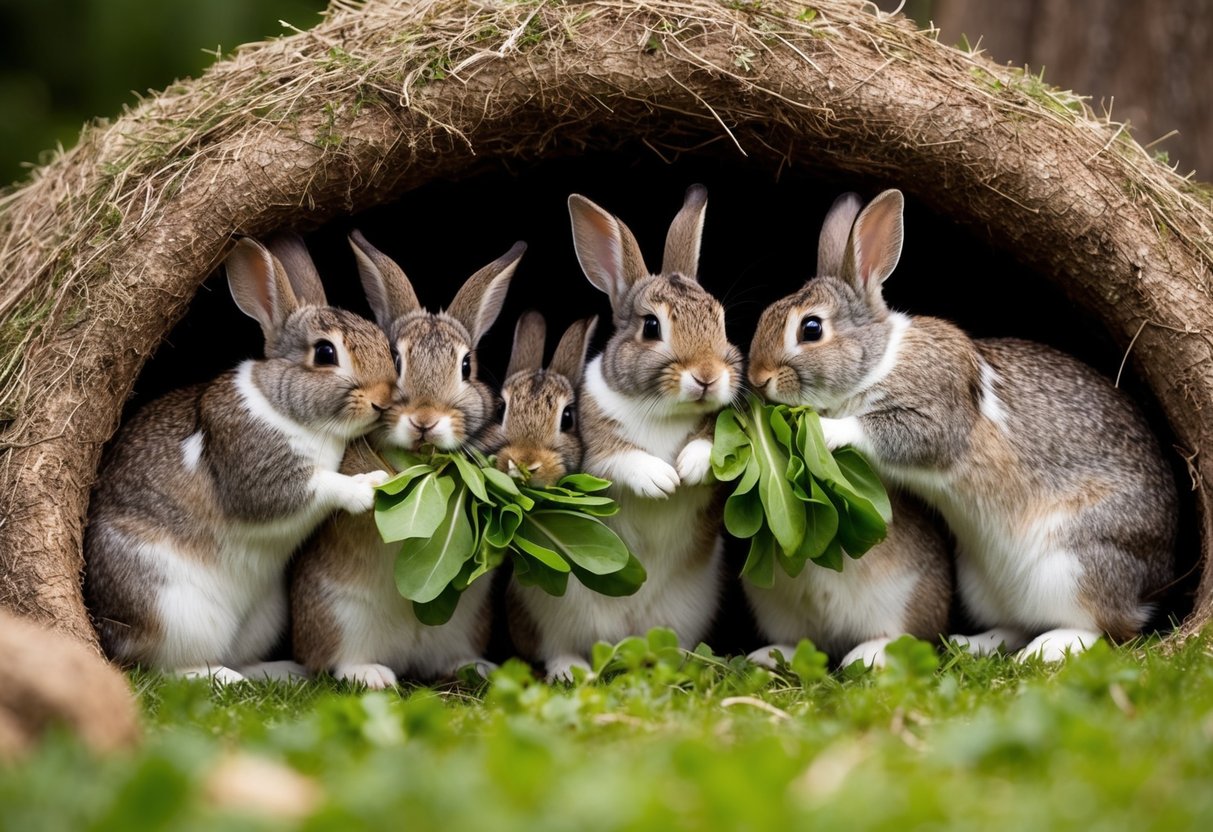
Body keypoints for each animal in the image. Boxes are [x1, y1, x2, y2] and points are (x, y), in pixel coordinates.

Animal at [84, 234, 397, 684]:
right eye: (325, 353)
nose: (382, 399)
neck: (283, 406)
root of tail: (112, 630)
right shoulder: (255, 470)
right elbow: (313, 486)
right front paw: (368, 486)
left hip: (263, 615)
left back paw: (281, 670)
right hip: (171, 608)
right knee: (163, 667)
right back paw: (222, 677)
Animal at [290, 230, 524, 689]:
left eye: (466, 366)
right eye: (395, 359)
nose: (425, 420)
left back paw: (475, 667)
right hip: (337, 614)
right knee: (336, 660)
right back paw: (372, 675)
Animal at [510, 185, 743, 681]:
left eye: (720, 320)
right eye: (651, 326)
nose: (708, 375)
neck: (664, 410)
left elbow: (708, 445)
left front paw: (690, 467)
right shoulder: (593, 450)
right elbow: (621, 458)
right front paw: (662, 479)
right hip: (548, 606)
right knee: (557, 646)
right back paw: (571, 671)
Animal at [747, 189, 1178, 662]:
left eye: (811, 328)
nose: (758, 378)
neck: (879, 360)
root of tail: (1154, 583)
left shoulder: (934, 417)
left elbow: (880, 431)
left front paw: (825, 431)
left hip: (1075, 564)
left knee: (1108, 628)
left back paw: (1048, 647)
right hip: (982, 581)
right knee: (1016, 624)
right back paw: (971, 643)